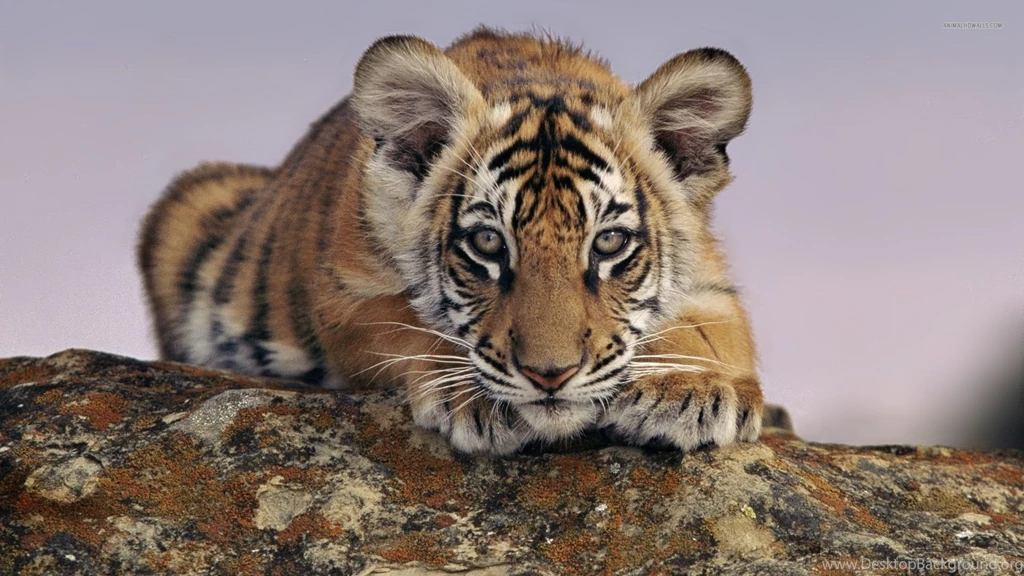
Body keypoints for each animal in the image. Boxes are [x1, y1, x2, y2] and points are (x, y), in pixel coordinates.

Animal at [138, 27, 765, 455]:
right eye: (488, 243)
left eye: (608, 244)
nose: (550, 376)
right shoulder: (345, 295)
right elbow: (407, 322)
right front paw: (476, 396)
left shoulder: (712, 285)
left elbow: (709, 333)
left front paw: (688, 388)